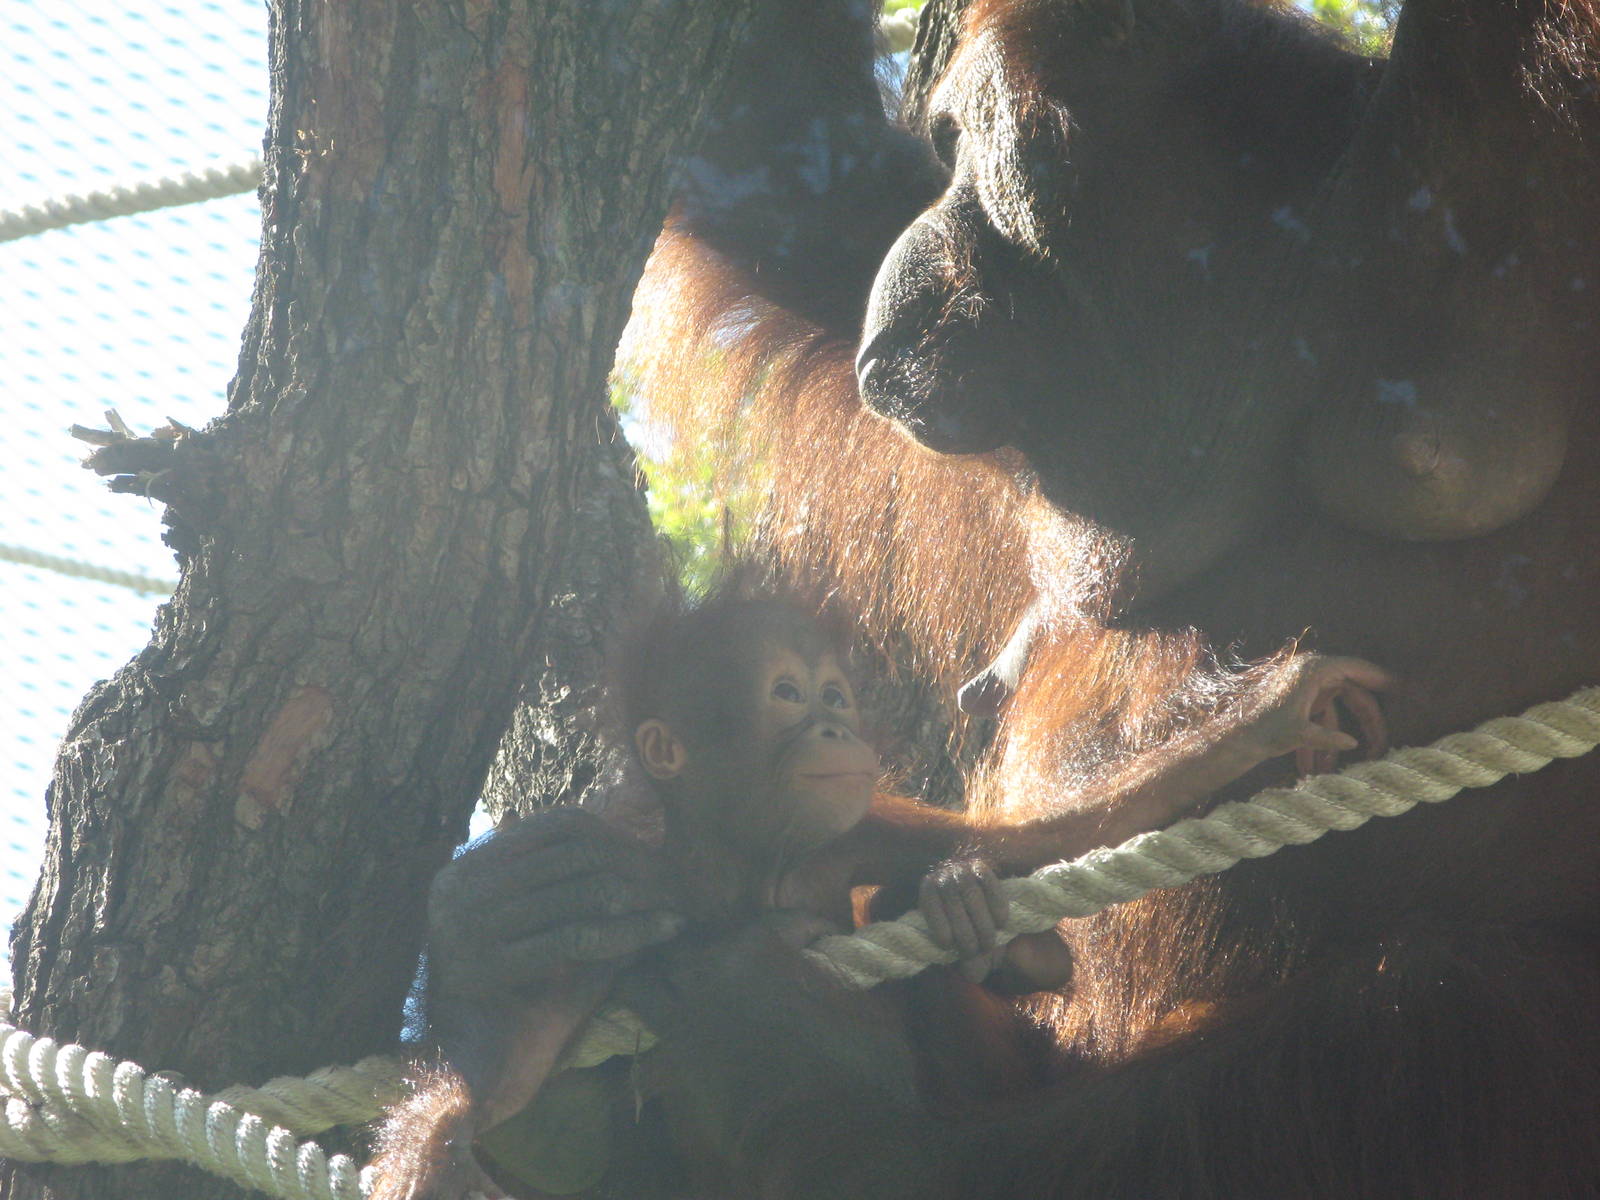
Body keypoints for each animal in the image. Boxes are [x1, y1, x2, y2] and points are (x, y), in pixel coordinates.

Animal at [370, 581, 1390, 1200]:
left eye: (834, 695)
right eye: (787, 695)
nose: (836, 727)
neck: (753, 862)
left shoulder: (855, 830)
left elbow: (1034, 836)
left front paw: (1271, 713)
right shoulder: (632, 887)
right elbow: (525, 1054)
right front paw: (444, 1127)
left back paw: (989, 932)